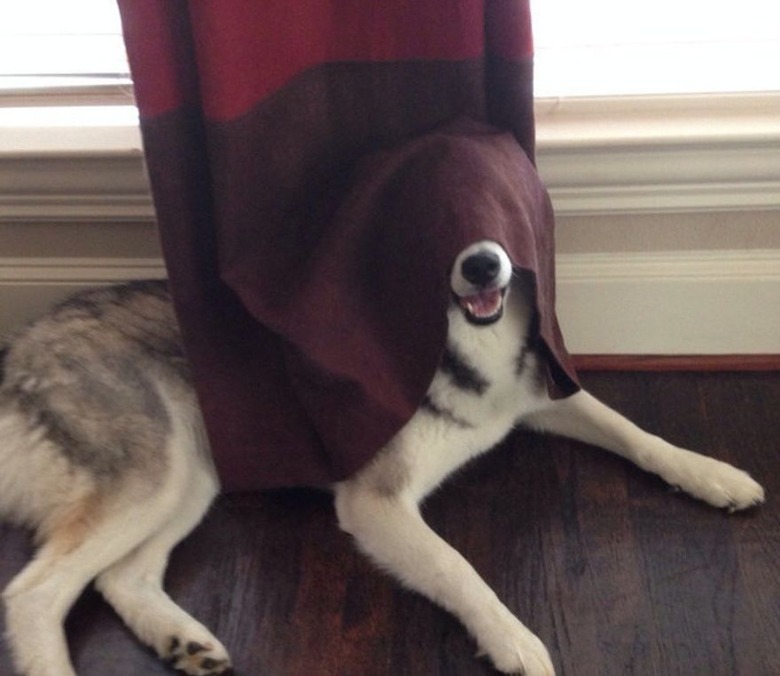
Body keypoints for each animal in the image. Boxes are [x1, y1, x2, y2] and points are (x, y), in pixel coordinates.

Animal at [0, 242, 764, 676]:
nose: (483, 264)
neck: (466, 350)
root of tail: (20, 345)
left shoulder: (539, 400)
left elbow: (637, 433)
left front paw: (713, 473)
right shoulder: (376, 503)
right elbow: (459, 568)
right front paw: (511, 637)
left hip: (192, 476)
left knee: (119, 577)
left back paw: (181, 639)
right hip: (156, 474)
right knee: (34, 593)